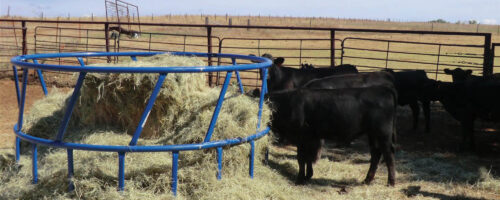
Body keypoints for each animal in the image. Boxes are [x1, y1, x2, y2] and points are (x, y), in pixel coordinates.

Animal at [268, 86, 396, 185]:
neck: (287, 103)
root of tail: (383, 89)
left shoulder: (301, 137)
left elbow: (301, 158)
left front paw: (300, 179)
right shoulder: (311, 138)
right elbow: (308, 158)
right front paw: (308, 175)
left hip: (383, 134)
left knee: (388, 155)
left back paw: (391, 182)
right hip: (372, 134)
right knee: (376, 154)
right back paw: (367, 180)